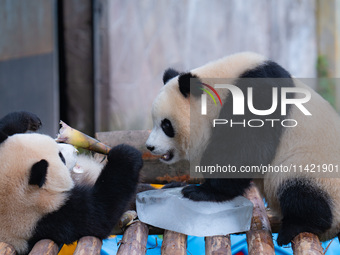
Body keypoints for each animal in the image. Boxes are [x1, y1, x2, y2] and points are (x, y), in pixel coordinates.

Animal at [0, 111, 143, 255]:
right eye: (61, 157)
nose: (75, 150)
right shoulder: (51, 218)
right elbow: (100, 215)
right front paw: (125, 154)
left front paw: (29, 119)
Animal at [146, 51, 340, 245]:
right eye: (155, 121)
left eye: (166, 125)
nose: (150, 146)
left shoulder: (257, 97)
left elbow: (244, 149)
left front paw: (202, 191)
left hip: (313, 167)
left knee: (300, 192)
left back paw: (296, 227)